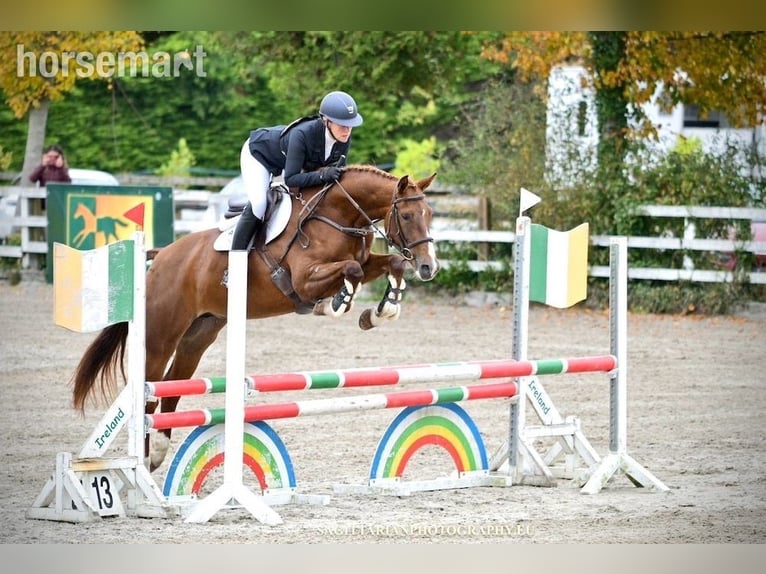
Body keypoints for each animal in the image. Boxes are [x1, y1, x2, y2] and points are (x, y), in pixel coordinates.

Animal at [71, 165, 440, 471]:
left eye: (430, 213)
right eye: (407, 215)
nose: (429, 267)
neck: (337, 215)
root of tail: (161, 256)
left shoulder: (366, 262)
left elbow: (390, 263)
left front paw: (379, 311)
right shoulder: (304, 279)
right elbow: (350, 271)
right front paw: (335, 303)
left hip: (200, 333)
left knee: (173, 386)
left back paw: (158, 454)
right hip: (161, 336)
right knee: (149, 389)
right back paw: (144, 459)